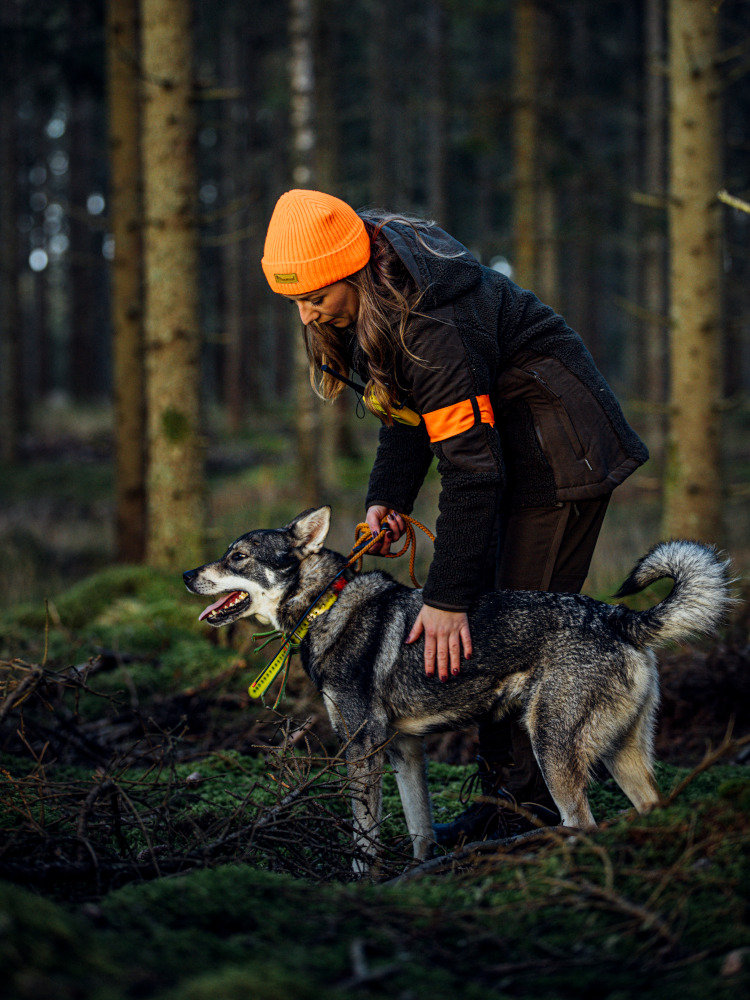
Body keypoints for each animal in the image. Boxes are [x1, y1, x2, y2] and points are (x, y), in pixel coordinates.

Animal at [184, 508, 736, 868]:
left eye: (238, 556)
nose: (188, 573)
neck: (326, 605)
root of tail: (619, 617)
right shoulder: (405, 749)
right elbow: (419, 829)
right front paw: (414, 876)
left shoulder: (361, 747)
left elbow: (364, 838)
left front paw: (362, 883)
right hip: (623, 756)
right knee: (649, 810)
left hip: (553, 749)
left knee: (583, 824)